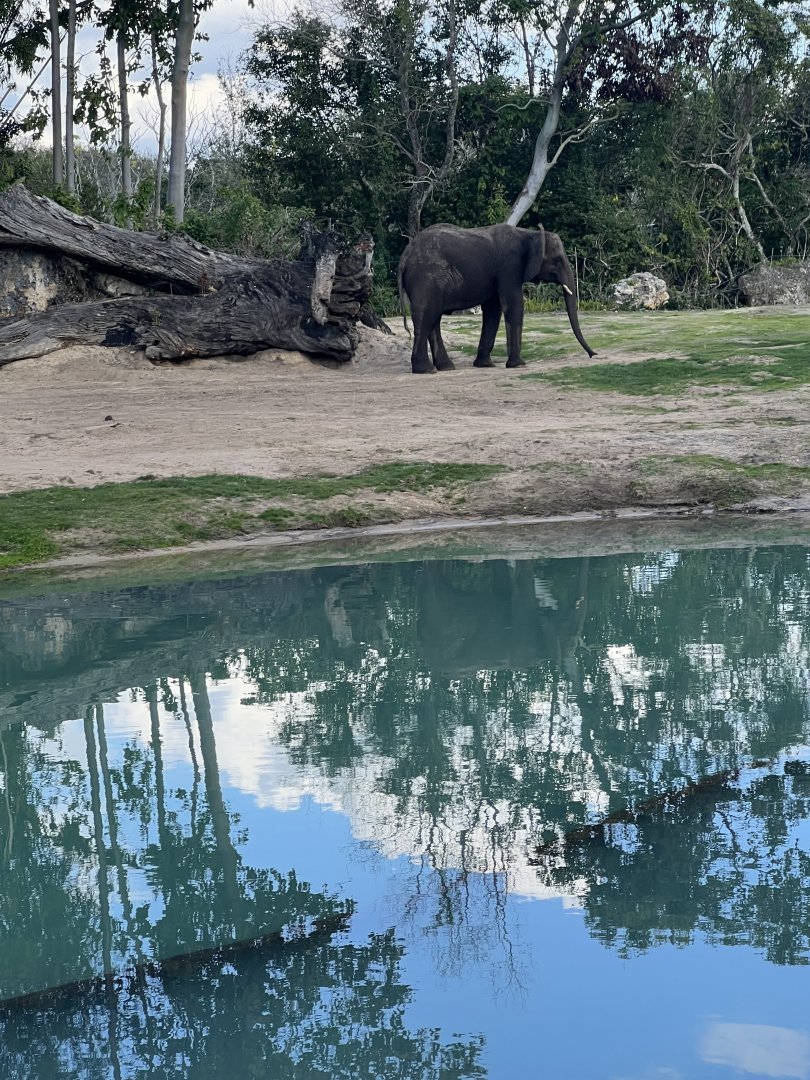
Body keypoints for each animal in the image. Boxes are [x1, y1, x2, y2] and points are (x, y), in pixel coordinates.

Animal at [397, 222, 596, 374]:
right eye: (557, 260)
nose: (593, 355)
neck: (530, 233)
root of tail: (406, 254)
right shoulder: (509, 267)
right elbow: (514, 304)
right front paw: (518, 365)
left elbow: (493, 309)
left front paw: (485, 365)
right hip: (426, 278)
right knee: (426, 316)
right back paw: (426, 370)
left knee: (433, 318)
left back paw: (446, 367)